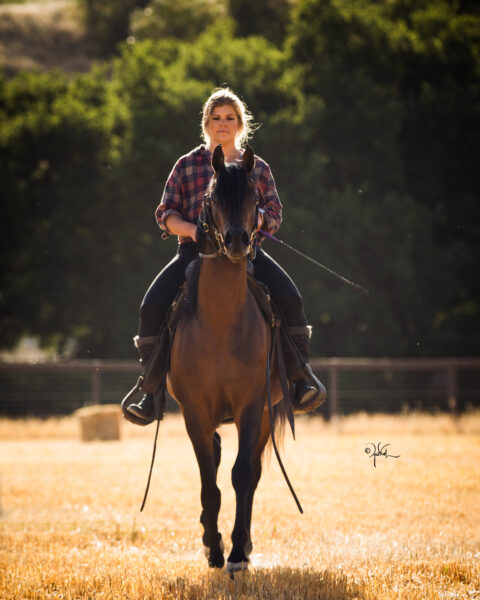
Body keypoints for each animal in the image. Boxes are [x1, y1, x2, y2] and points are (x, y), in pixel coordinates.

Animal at [166, 144, 284, 572]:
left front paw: (234, 553)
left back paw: (243, 546)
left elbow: (241, 475)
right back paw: (209, 538)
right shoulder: (195, 412)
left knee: (252, 473)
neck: (220, 324)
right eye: (214, 196)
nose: (236, 240)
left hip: (266, 413)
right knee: (216, 461)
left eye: (254, 196)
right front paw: (214, 550)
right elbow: (209, 483)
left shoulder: (251, 406)